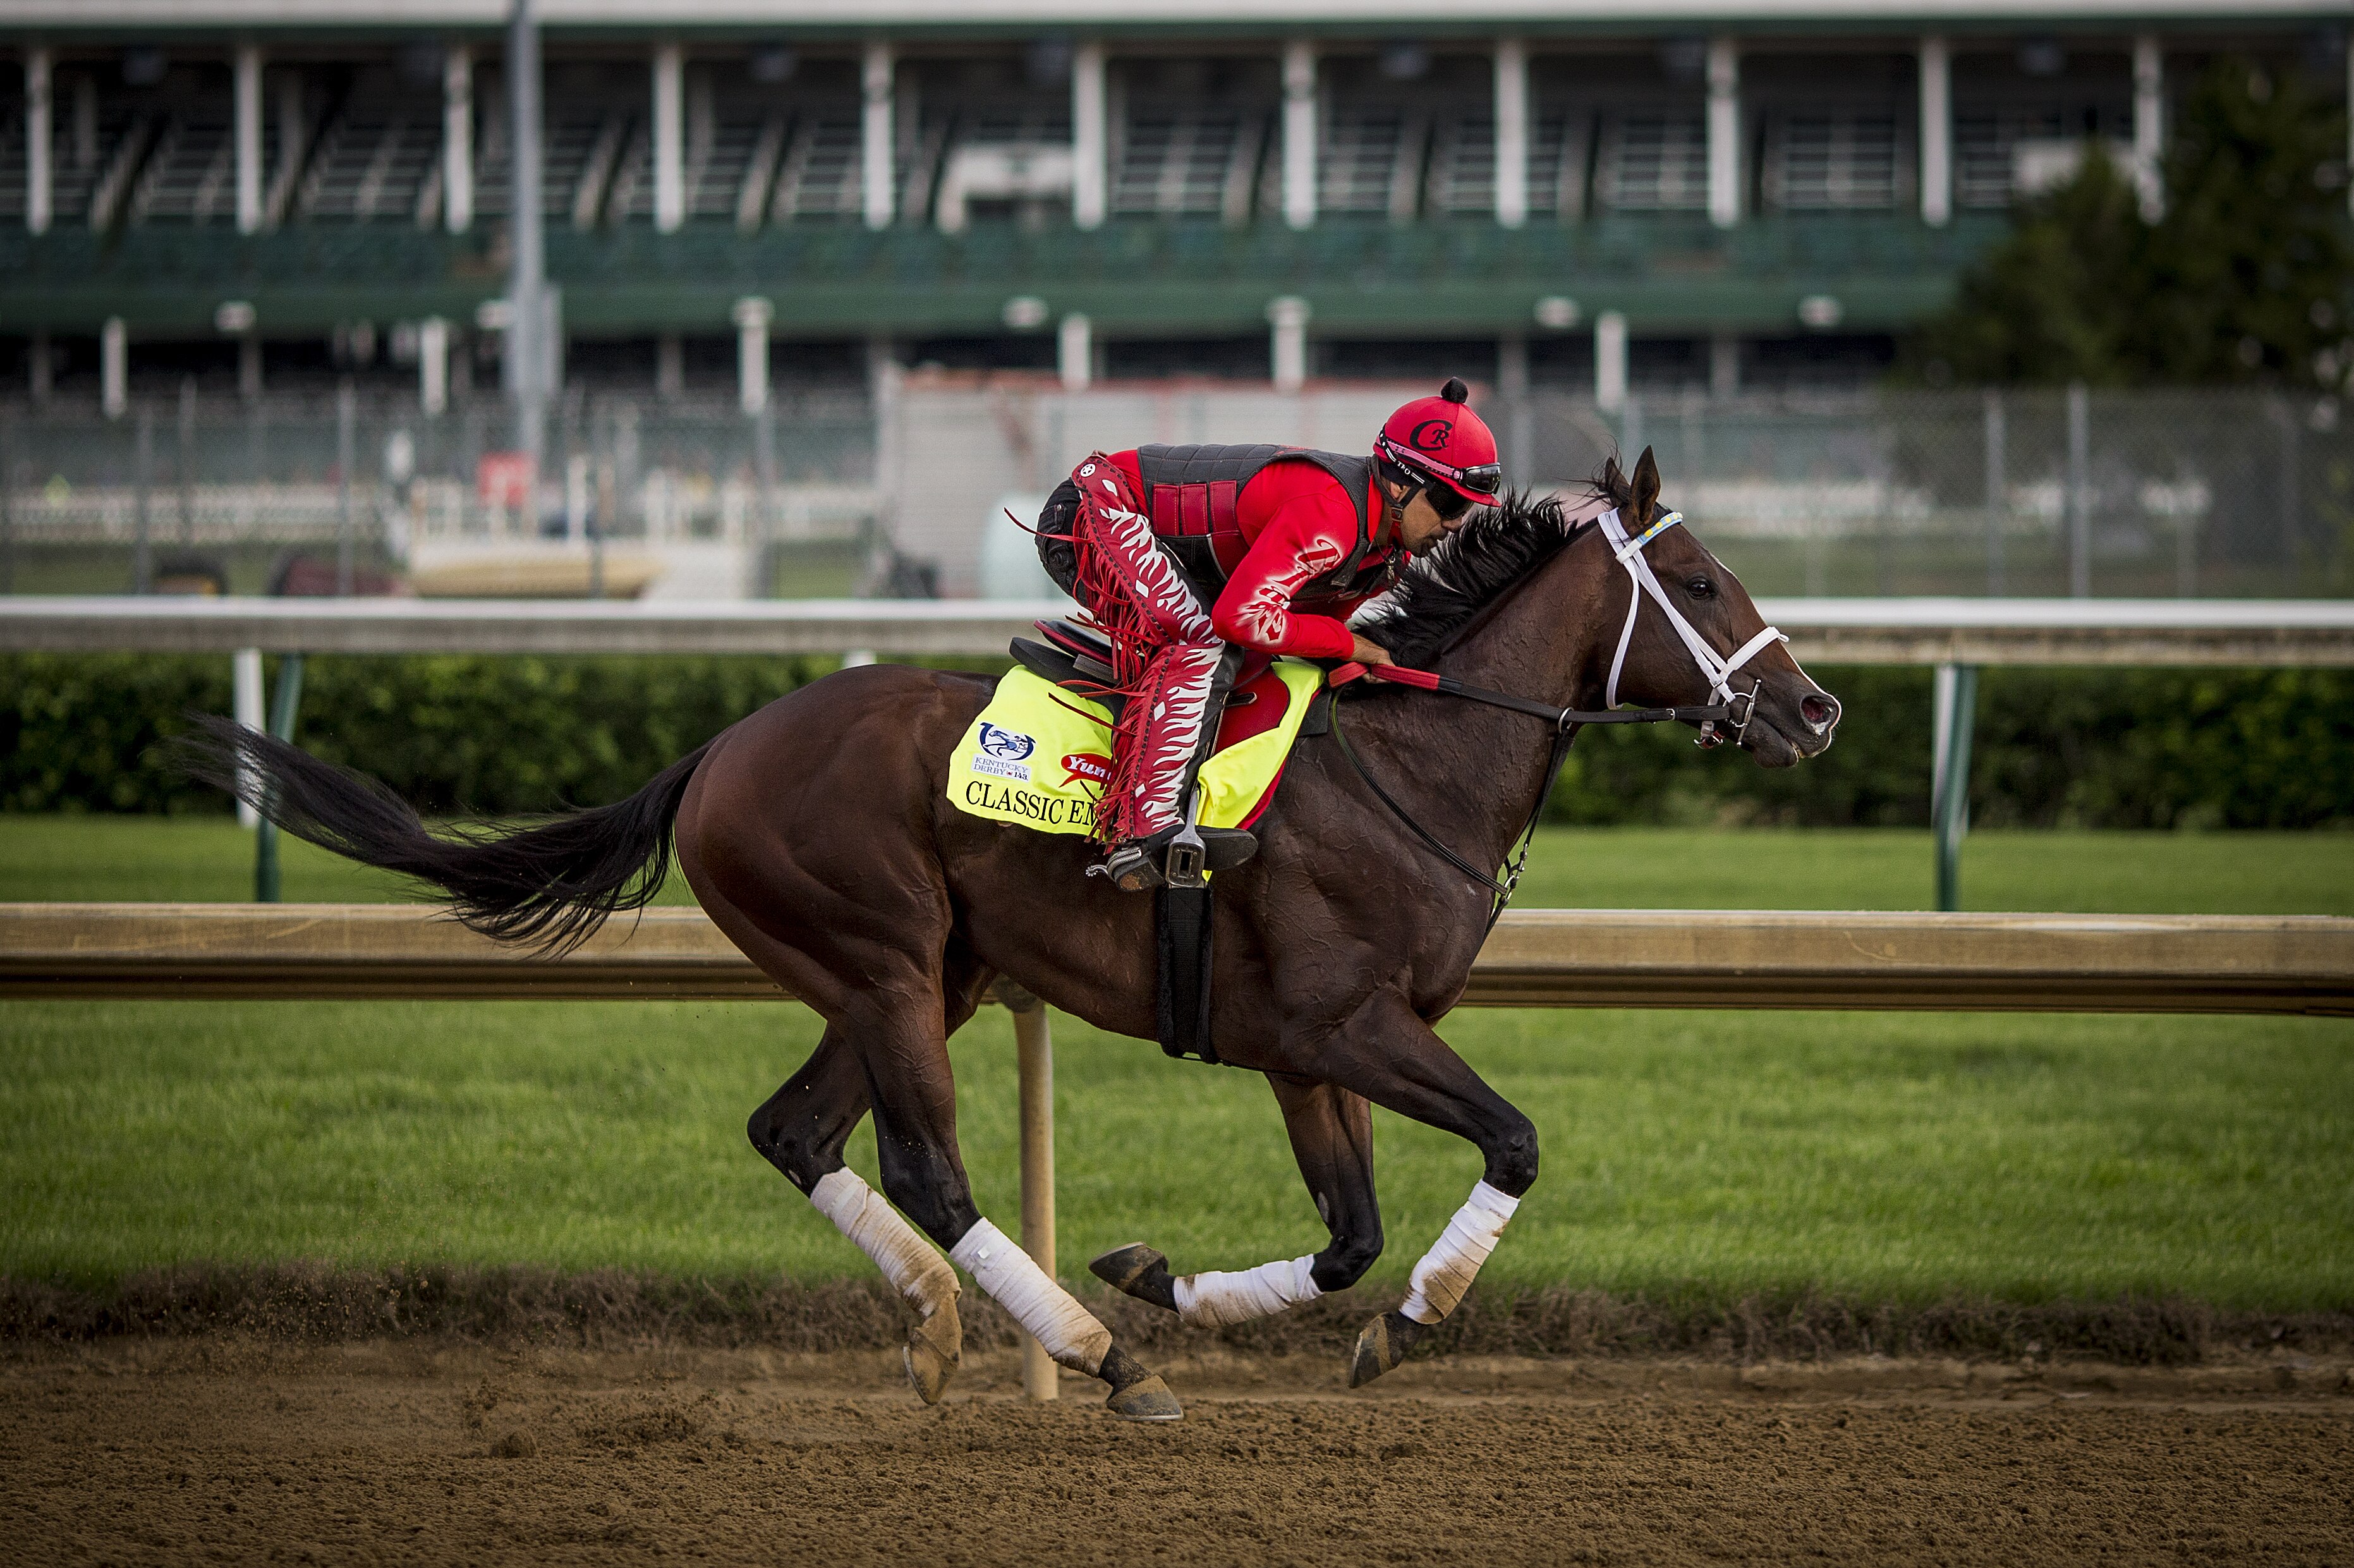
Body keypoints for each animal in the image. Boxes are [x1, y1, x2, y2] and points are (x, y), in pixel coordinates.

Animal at [190, 447, 1841, 1422]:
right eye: (1701, 581)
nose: (1815, 710)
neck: (1410, 766)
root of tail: (716, 749)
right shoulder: (1347, 1024)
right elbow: (1508, 1144)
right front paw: (1400, 1325)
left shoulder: (1300, 1051)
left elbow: (1347, 1236)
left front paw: (1163, 1278)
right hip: (880, 955)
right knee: (926, 1165)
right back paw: (1095, 1360)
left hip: (920, 978)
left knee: (795, 1132)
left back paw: (953, 1326)